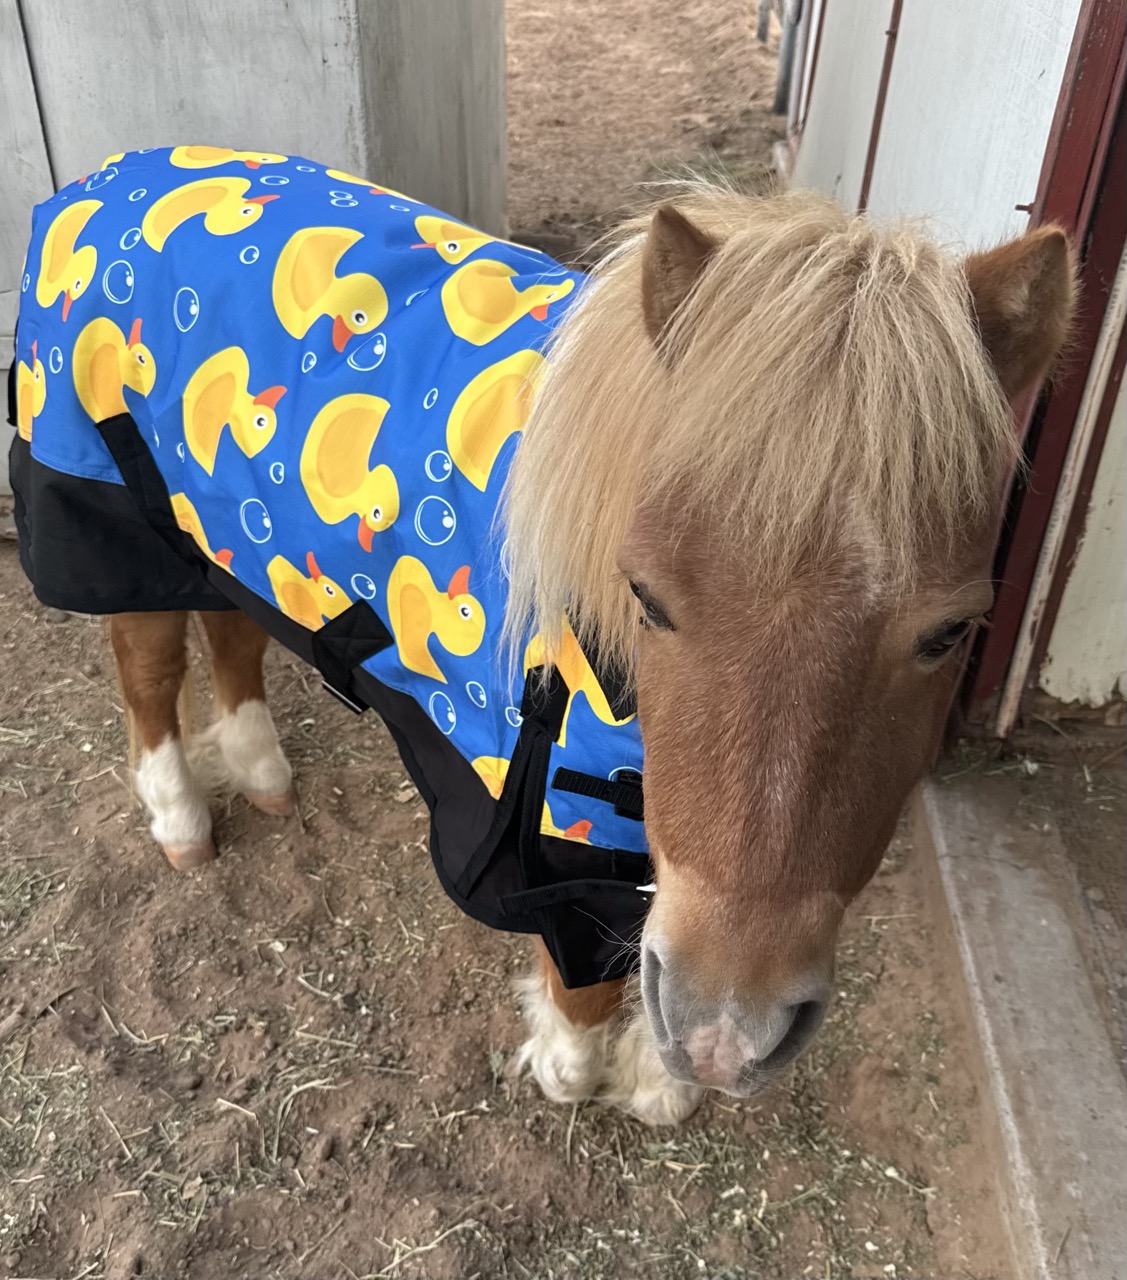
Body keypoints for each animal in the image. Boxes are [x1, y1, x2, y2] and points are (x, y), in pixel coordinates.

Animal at [10, 155, 1074, 1127]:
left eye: (951, 631)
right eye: (647, 598)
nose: (726, 1035)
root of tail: (112, 175)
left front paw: (656, 1076)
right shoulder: (553, 839)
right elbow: (584, 972)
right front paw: (576, 1066)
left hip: (221, 531)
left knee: (233, 637)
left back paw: (262, 772)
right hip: (113, 509)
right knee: (150, 672)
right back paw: (180, 818)